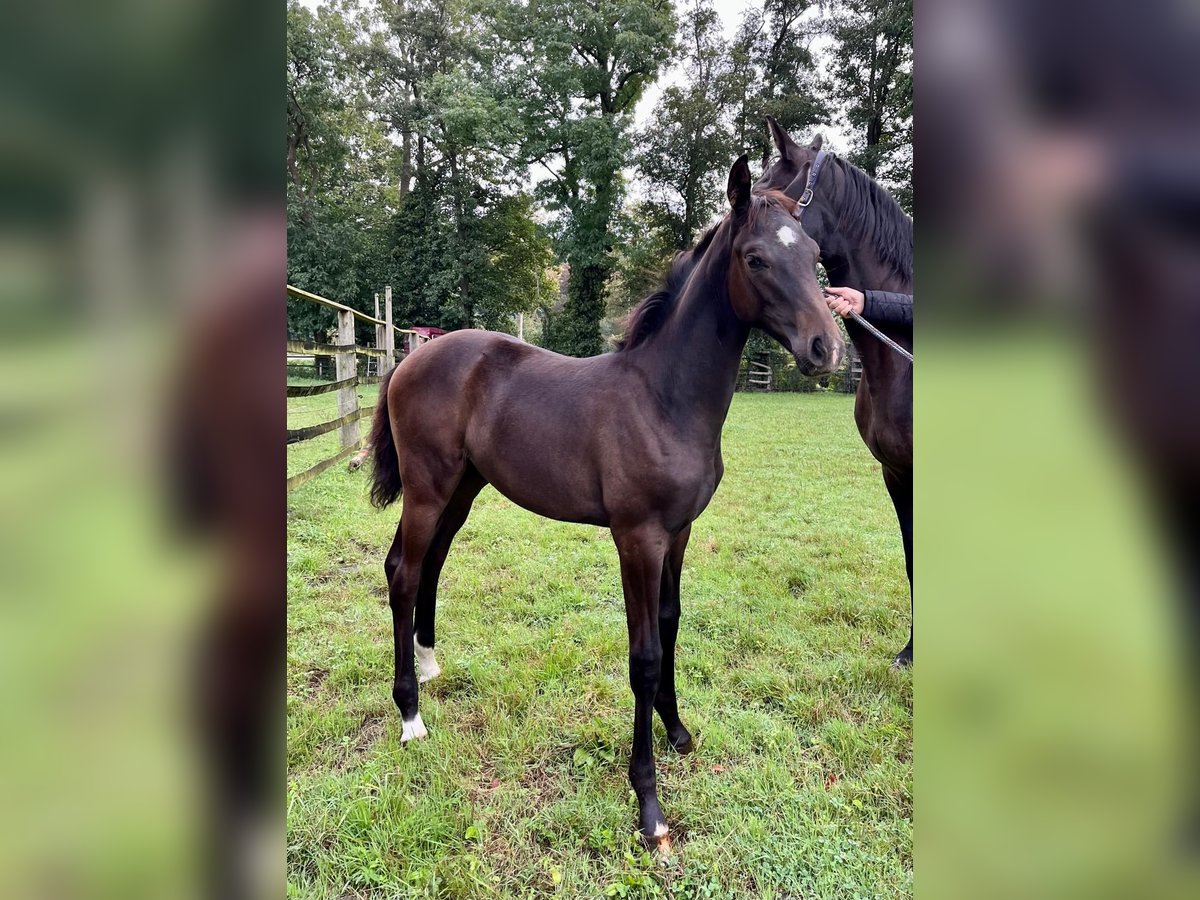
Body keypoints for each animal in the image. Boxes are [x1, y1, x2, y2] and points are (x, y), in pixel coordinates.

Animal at [364, 157, 844, 854]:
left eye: (812, 255)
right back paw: (410, 716)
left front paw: (678, 731)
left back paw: (428, 668)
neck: (665, 399)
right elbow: (643, 656)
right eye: (755, 258)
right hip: (428, 488)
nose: (825, 349)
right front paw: (649, 804)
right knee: (402, 572)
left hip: (462, 489)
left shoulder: (678, 533)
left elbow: (671, 624)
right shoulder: (636, 537)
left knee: (427, 565)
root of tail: (411, 356)